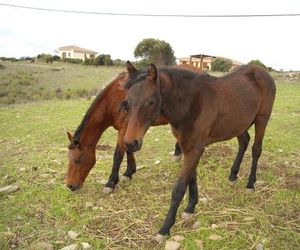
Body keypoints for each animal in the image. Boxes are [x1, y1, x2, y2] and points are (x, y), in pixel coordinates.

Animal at [122, 61, 276, 241]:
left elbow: (179, 187)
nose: (131, 143)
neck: (191, 103)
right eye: (127, 103)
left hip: (262, 120)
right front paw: (190, 207)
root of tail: (262, 71)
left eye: (151, 102)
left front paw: (165, 229)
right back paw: (233, 175)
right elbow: (191, 177)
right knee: (244, 141)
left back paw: (251, 183)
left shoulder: (195, 148)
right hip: (239, 123)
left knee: (256, 150)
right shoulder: (188, 146)